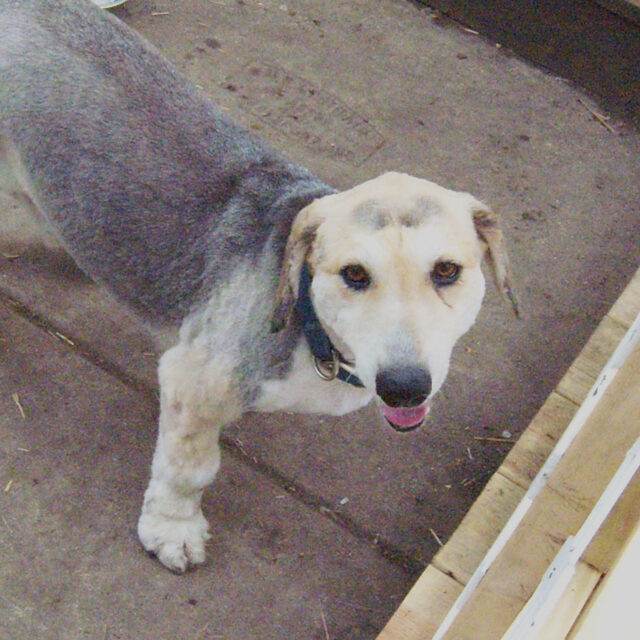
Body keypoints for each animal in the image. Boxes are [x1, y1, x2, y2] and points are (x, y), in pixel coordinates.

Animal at [0, 0, 516, 568]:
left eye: (446, 271)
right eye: (354, 274)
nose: (404, 387)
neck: (311, 327)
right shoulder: (194, 382)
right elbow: (190, 469)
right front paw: (172, 529)